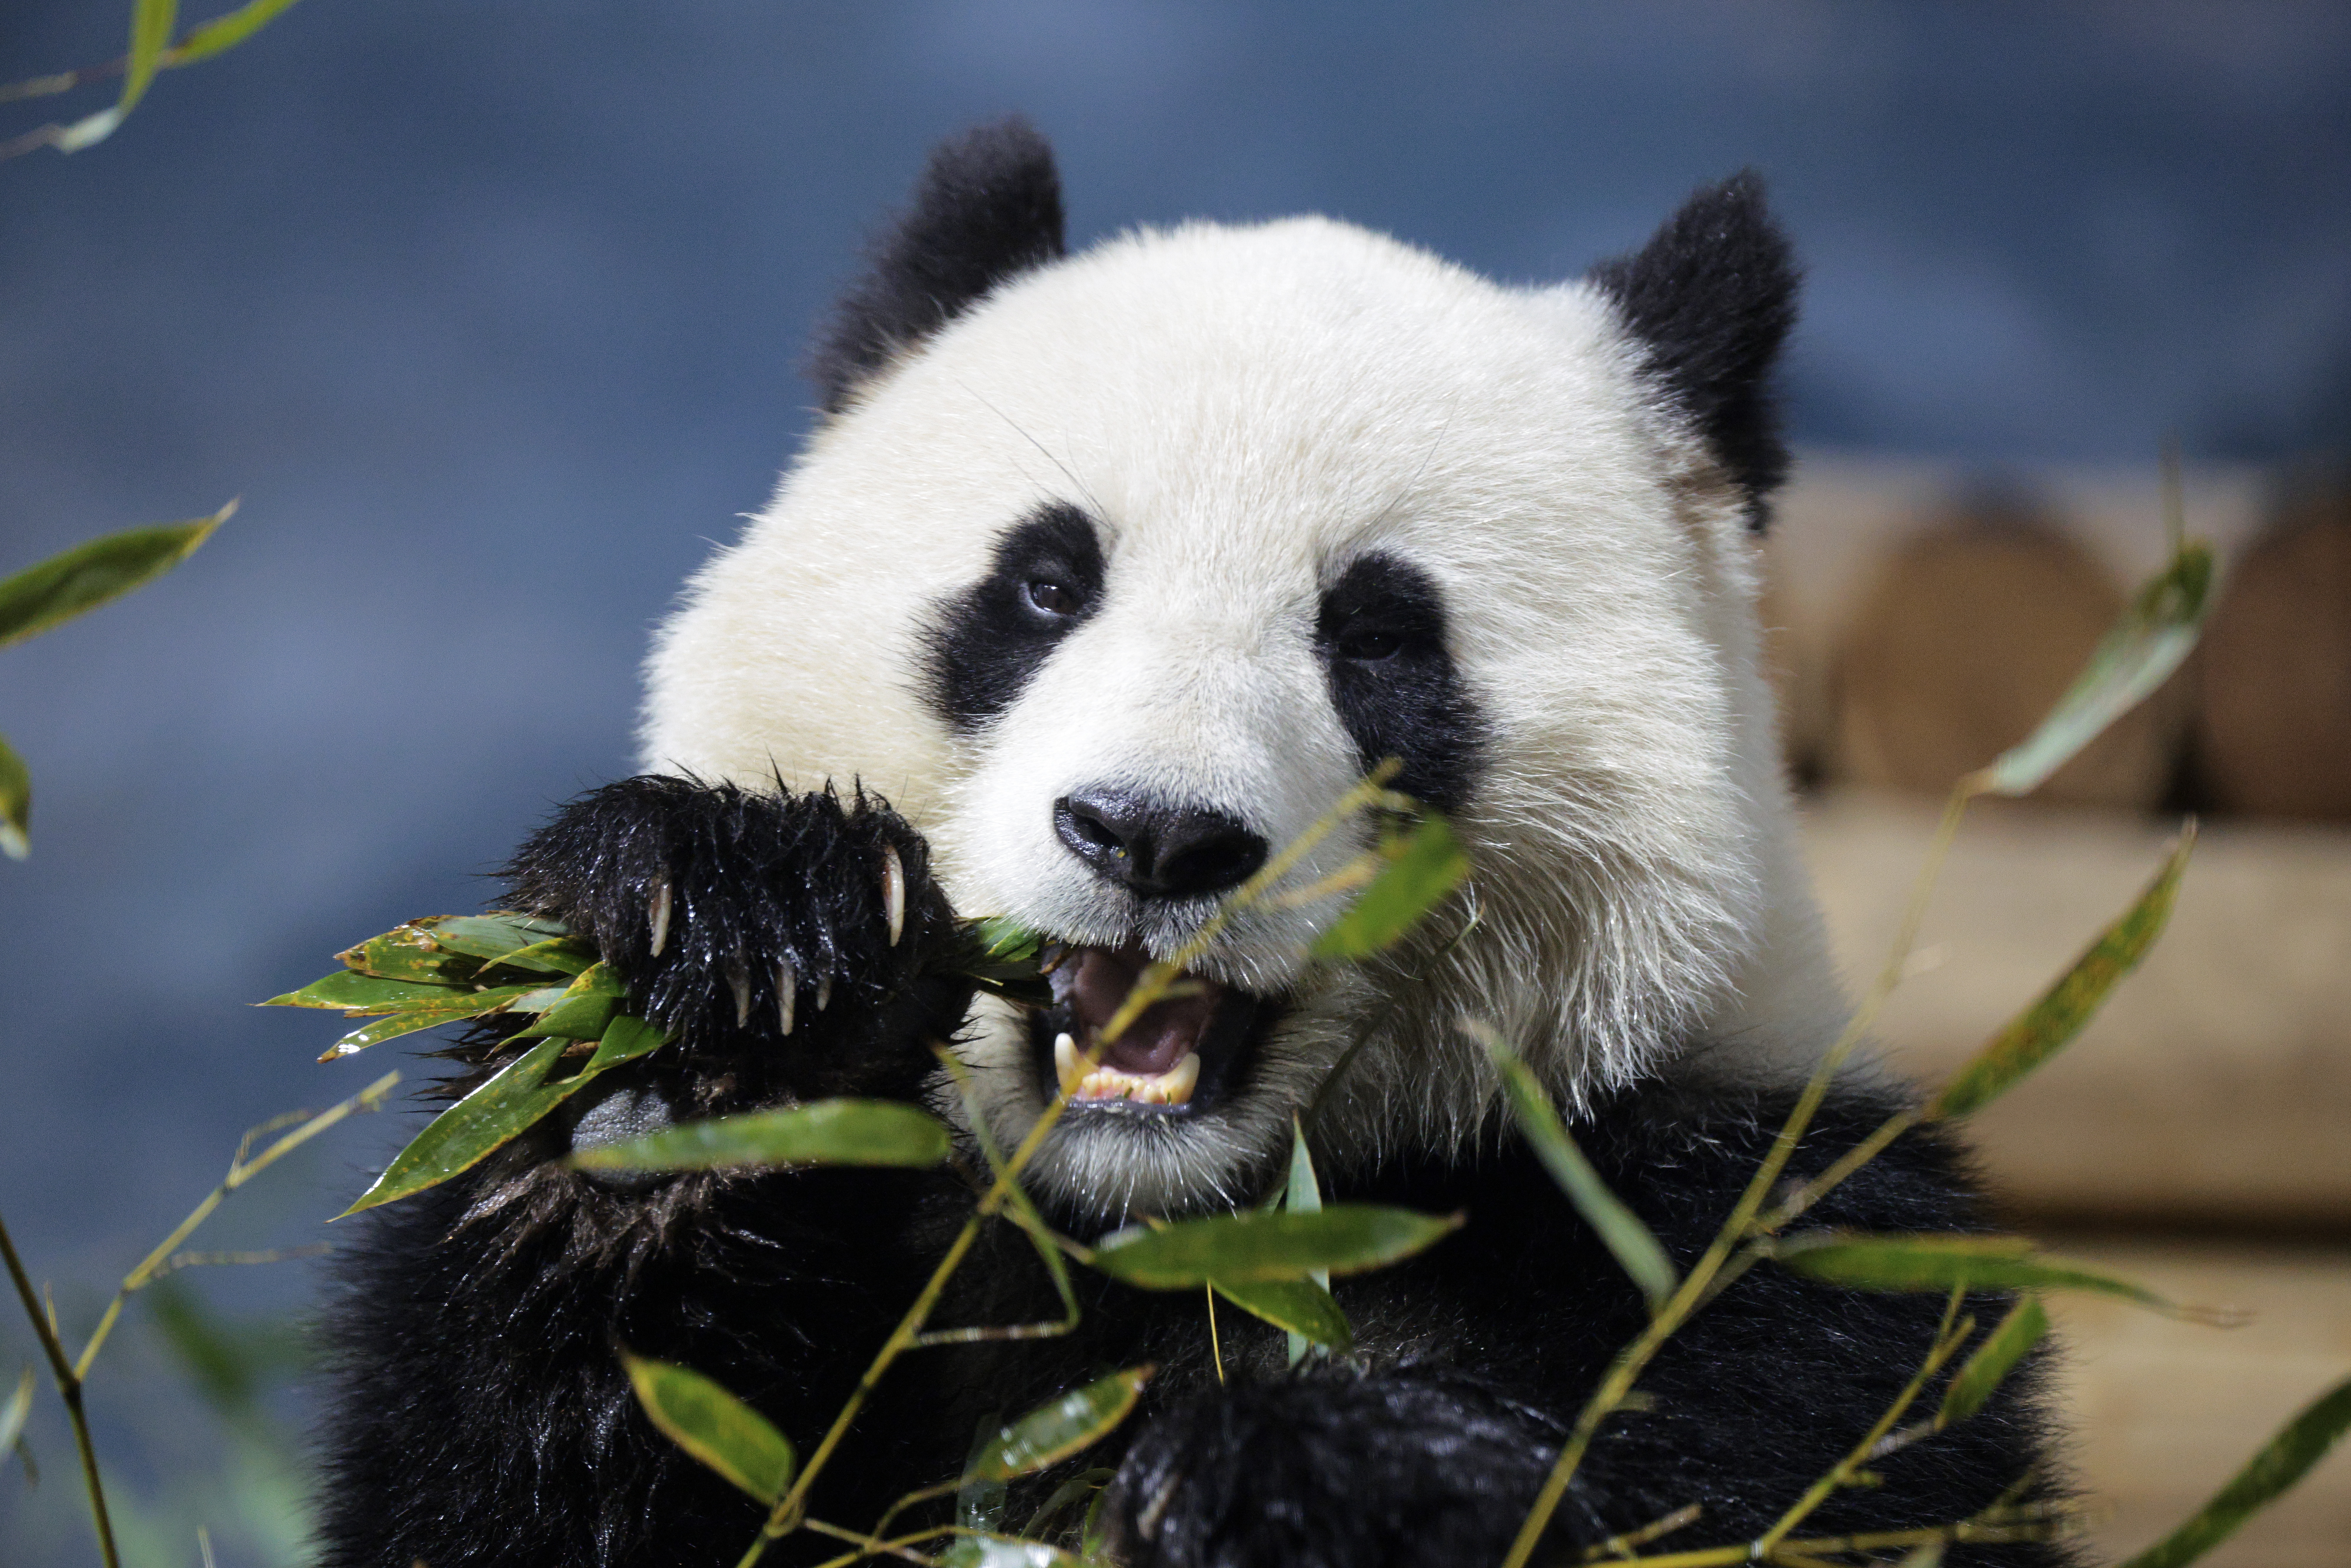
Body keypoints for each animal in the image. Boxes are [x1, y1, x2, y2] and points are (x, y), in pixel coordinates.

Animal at [316, 121, 2064, 1568]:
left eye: (1377, 636)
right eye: (1042, 585)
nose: (1152, 836)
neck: (1161, 1225)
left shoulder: (1756, 1242)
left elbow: (1780, 1471)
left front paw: (1305, 1484)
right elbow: (541, 1458)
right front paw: (729, 1005)